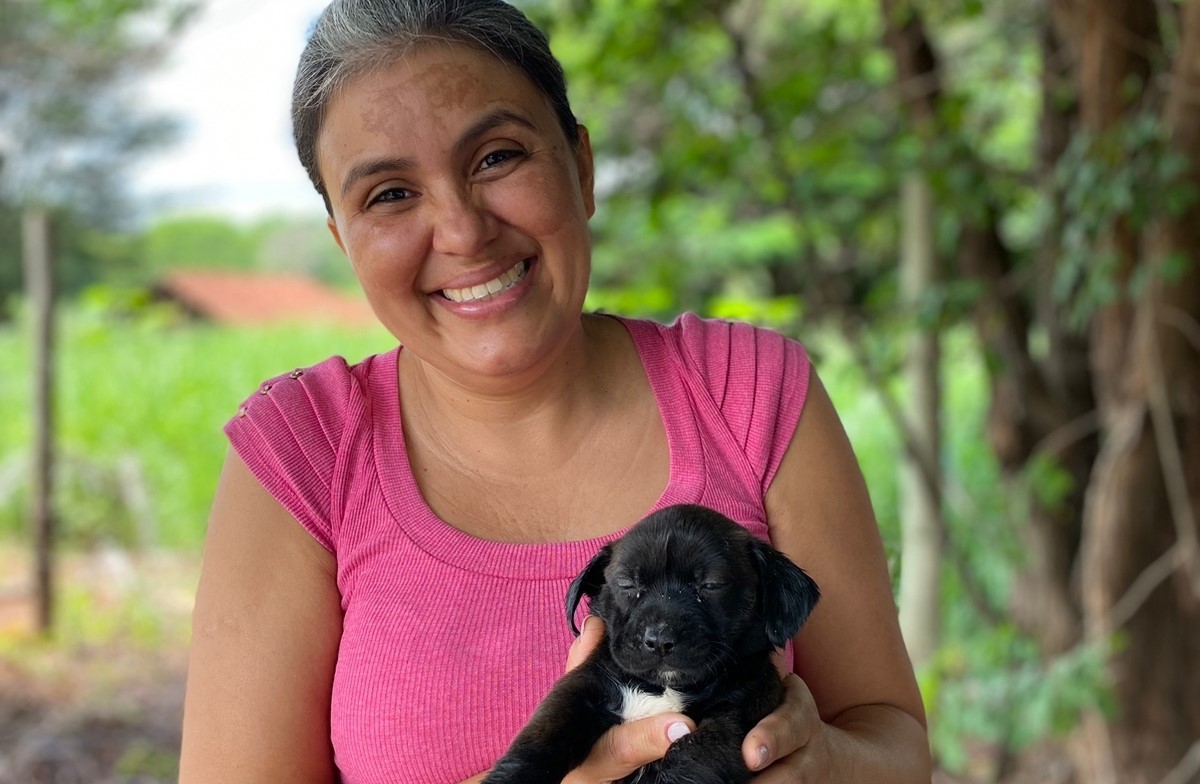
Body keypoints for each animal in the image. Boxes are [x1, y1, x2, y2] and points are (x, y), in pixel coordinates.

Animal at [482, 504, 820, 777]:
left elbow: (689, 759)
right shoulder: (582, 688)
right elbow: (542, 736)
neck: (663, 687)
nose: (659, 640)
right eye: (627, 584)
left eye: (711, 585)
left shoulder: (733, 718)